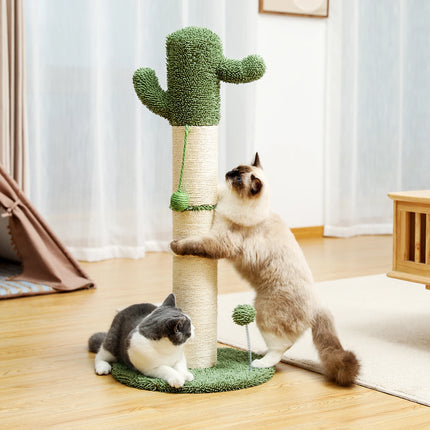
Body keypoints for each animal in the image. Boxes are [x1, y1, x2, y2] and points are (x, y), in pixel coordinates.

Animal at [170, 154, 360, 386]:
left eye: (238, 180)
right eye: (235, 169)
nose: (228, 173)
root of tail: (318, 305)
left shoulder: (219, 240)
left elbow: (192, 243)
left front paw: (174, 245)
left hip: (264, 313)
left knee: (281, 349)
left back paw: (259, 363)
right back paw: (260, 353)